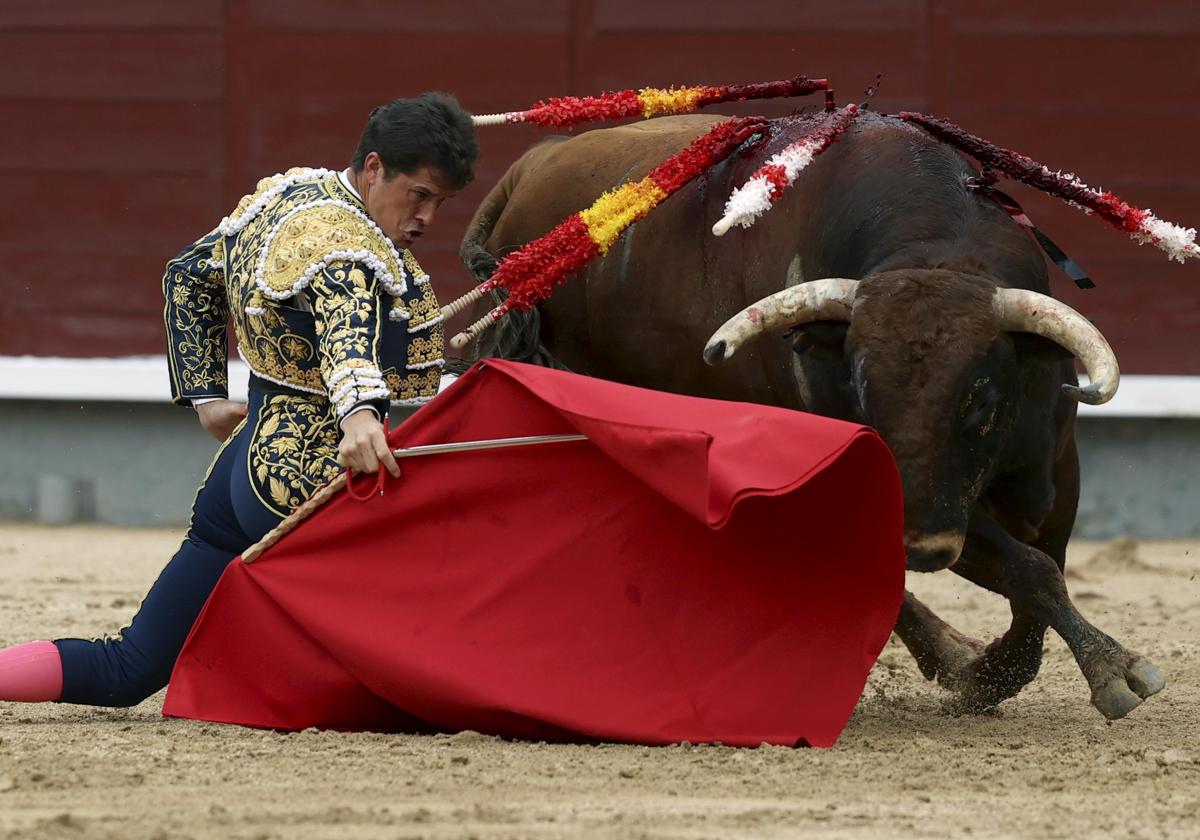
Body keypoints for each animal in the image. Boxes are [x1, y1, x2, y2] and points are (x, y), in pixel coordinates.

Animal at [458, 108, 1161, 720]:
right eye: (861, 390)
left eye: (981, 399)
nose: (919, 544)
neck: (937, 249)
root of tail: (528, 168)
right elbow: (1027, 572)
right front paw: (1060, 673)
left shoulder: (1053, 473)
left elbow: (1042, 577)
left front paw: (1020, 671)